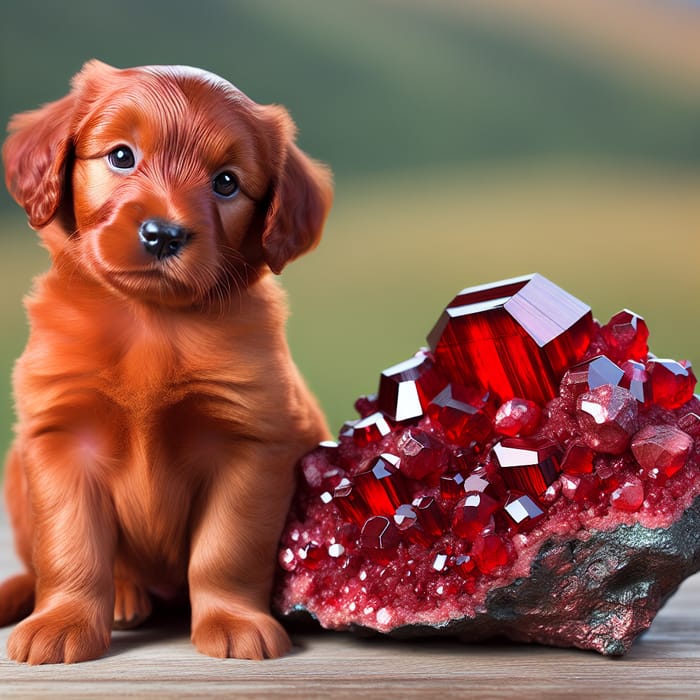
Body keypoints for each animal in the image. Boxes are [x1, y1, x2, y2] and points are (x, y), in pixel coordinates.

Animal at [0, 60, 334, 660]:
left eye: (226, 182)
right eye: (121, 156)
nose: (163, 234)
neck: (149, 323)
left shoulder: (250, 445)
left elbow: (225, 550)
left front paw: (234, 620)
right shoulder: (60, 439)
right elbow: (70, 547)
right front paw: (62, 622)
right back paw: (120, 595)